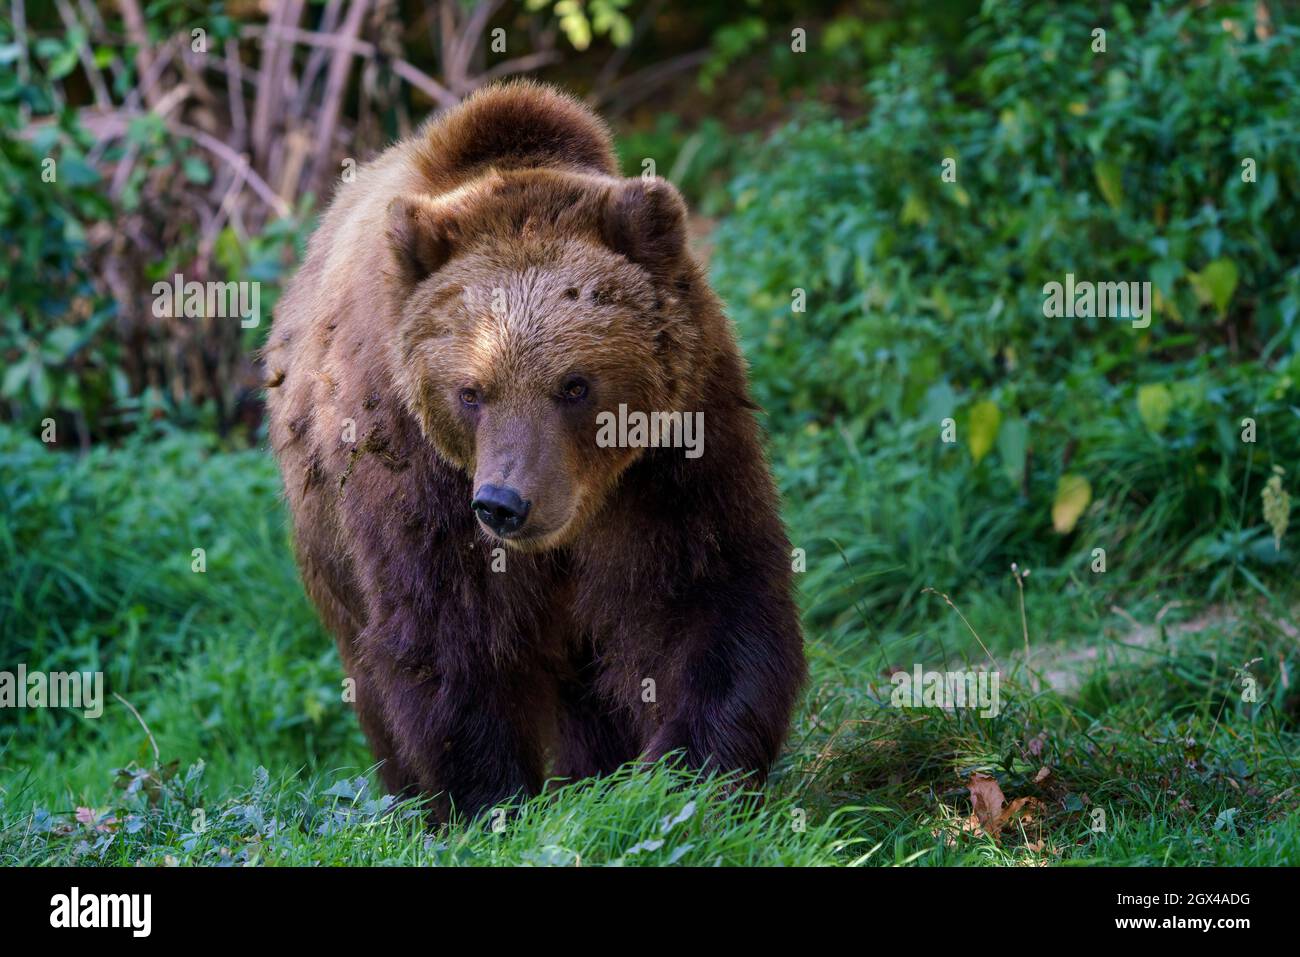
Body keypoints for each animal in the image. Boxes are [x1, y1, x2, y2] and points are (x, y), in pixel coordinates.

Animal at [264, 81, 806, 821]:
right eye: (471, 390)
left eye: (575, 384)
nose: (505, 503)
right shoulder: (414, 467)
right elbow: (448, 632)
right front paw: (491, 801)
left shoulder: (674, 451)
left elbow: (705, 593)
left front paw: (687, 775)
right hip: (330, 549)